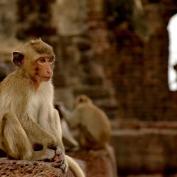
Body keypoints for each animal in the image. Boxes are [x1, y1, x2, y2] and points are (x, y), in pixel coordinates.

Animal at [0, 39, 85, 177]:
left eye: (49, 60)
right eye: (41, 60)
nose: (49, 70)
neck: (33, 81)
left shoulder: (48, 85)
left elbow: (46, 115)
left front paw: (61, 151)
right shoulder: (21, 86)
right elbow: (21, 116)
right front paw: (55, 144)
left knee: (53, 112)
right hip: (8, 147)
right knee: (9, 116)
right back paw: (30, 156)